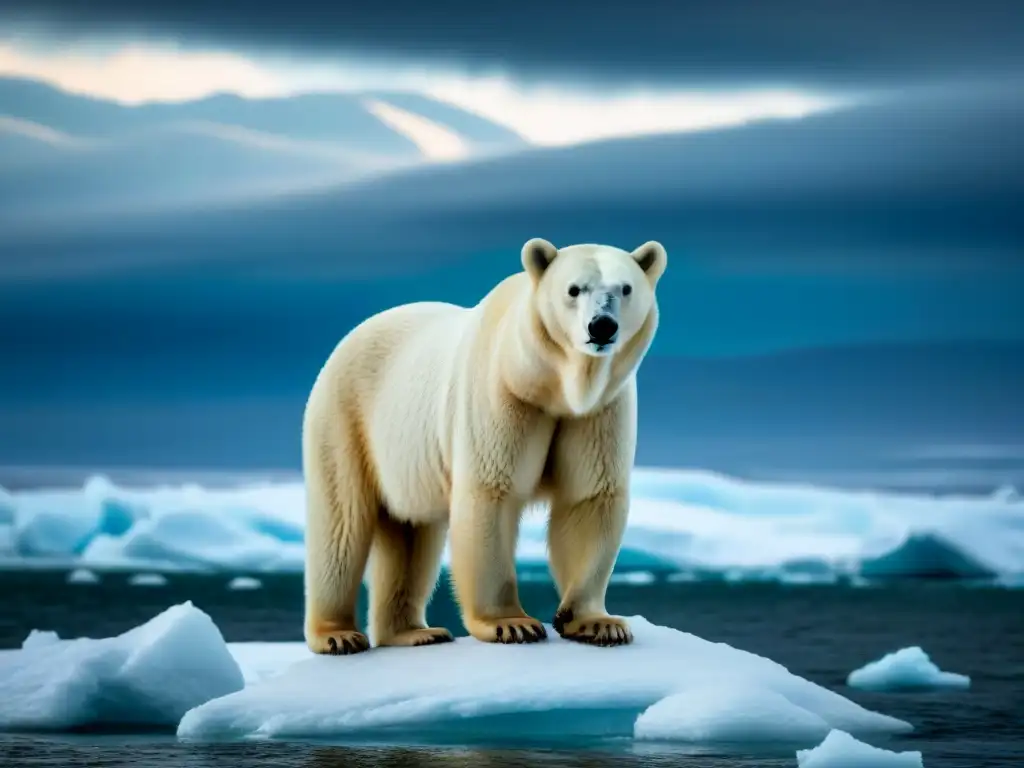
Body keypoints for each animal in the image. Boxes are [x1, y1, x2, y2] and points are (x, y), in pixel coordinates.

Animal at [299, 239, 667, 655]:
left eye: (625, 288)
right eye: (574, 289)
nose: (601, 326)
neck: (549, 384)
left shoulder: (598, 411)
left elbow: (589, 496)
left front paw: (598, 623)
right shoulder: (501, 394)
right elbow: (492, 493)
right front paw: (511, 624)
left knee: (411, 534)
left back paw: (415, 632)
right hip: (346, 418)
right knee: (341, 525)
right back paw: (337, 635)